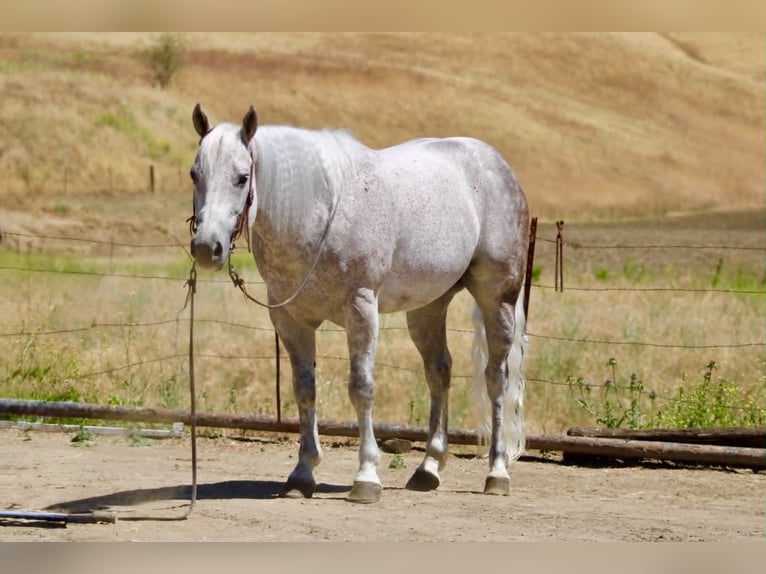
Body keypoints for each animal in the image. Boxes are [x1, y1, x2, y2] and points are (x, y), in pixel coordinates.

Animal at [188, 104, 529, 504]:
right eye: (195, 174)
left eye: (242, 177)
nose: (206, 247)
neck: (318, 213)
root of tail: (496, 163)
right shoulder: (291, 320)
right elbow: (304, 389)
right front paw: (302, 473)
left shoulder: (361, 309)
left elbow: (361, 388)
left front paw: (366, 476)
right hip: (428, 307)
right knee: (439, 373)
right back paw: (428, 468)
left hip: (498, 299)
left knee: (496, 379)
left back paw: (497, 472)